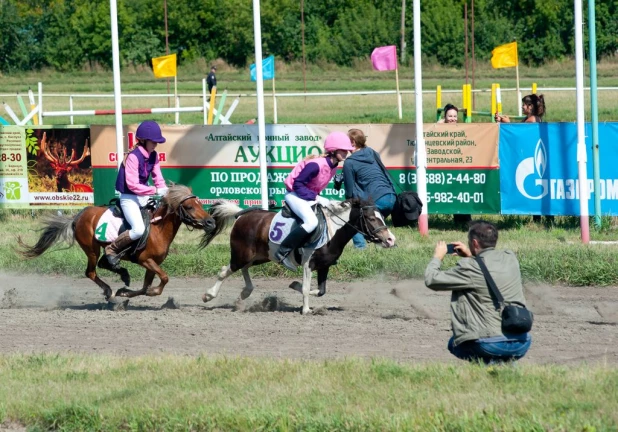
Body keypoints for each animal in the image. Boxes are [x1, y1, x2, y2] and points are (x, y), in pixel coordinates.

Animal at [17, 184, 214, 306]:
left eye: (199, 203)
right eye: (189, 206)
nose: (211, 222)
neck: (158, 228)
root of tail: (78, 216)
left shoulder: (153, 264)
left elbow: (145, 287)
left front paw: (125, 293)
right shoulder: (145, 260)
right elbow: (164, 278)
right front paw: (147, 292)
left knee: (104, 263)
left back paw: (121, 275)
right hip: (92, 249)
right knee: (91, 271)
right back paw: (109, 291)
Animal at [202, 198, 394, 314]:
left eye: (381, 217)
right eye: (371, 219)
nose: (391, 239)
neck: (332, 231)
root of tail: (242, 214)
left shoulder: (324, 266)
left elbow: (321, 291)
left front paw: (294, 285)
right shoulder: (308, 263)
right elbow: (306, 289)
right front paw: (306, 309)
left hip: (259, 256)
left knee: (244, 269)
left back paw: (244, 294)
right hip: (241, 254)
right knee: (225, 270)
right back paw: (209, 295)